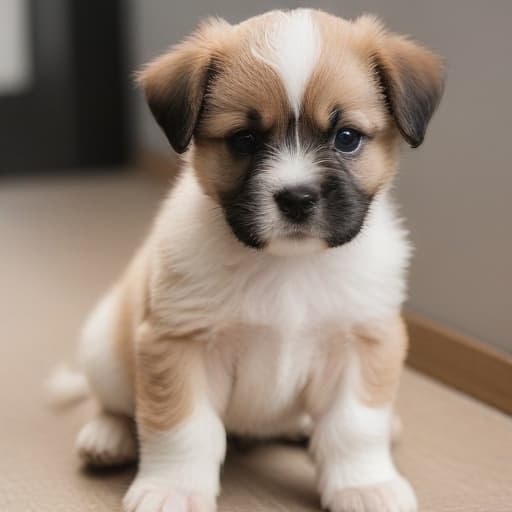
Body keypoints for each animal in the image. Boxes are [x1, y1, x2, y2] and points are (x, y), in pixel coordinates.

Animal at [73, 8, 444, 512]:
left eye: (346, 137)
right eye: (245, 139)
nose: (297, 199)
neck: (288, 267)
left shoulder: (363, 342)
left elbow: (354, 427)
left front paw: (364, 485)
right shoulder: (178, 345)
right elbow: (180, 428)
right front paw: (173, 488)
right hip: (106, 353)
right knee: (114, 403)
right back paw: (108, 436)